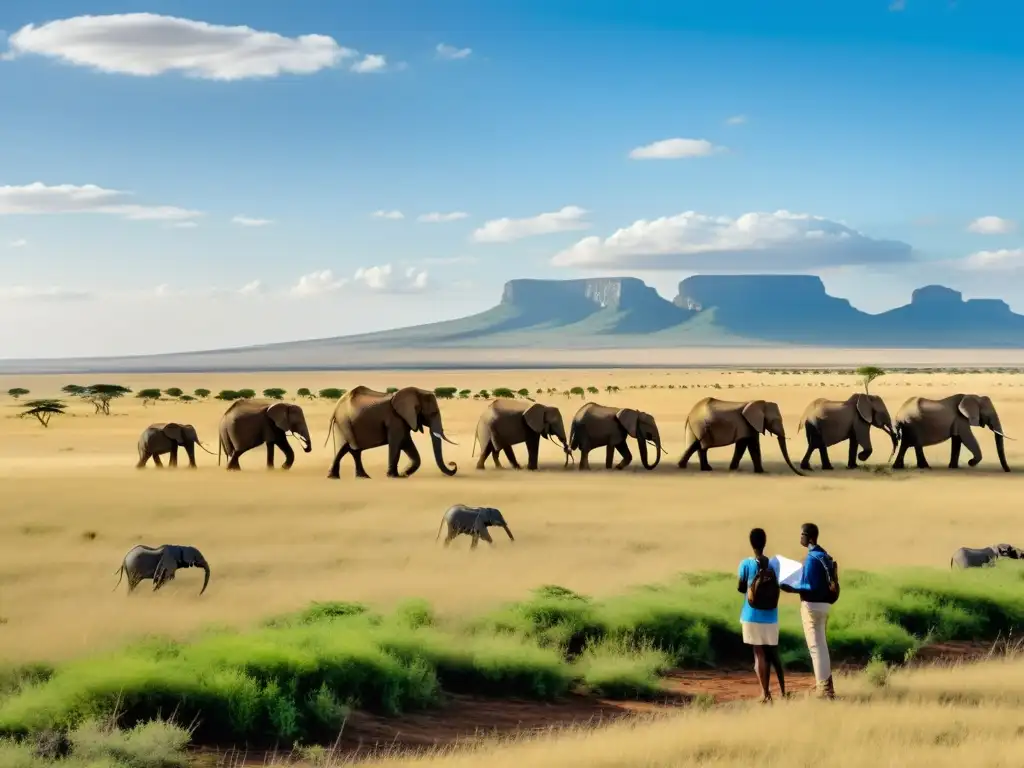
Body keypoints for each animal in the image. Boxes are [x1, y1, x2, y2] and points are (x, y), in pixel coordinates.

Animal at [325, 385, 458, 481]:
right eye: (433, 413)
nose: (453, 463)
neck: (416, 392)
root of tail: (335, 408)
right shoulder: (395, 419)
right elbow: (396, 444)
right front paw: (394, 476)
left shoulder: (403, 420)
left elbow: (407, 444)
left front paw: (403, 474)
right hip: (344, 422)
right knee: (346, 448)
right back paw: (335, 478)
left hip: (343, 424)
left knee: (350, 450)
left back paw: (360, 477)